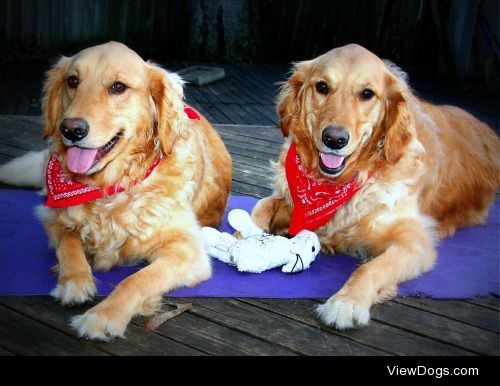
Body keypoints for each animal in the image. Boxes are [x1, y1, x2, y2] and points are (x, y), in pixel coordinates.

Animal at [4, 40, 231, 340]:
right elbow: (69, 242)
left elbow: (136, 280)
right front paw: (74, 281)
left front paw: (102, 316)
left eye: (118, 87)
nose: (71, 129)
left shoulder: (189, 251)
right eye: (72, 81)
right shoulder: (52, 216)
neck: (109, 187)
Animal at [254, 44, 500, 328]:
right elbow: (261, 206)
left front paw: (346, 303)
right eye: (322, 87)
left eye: (367, 94)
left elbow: (370, 268)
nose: (334, 139)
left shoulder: (413, 242)